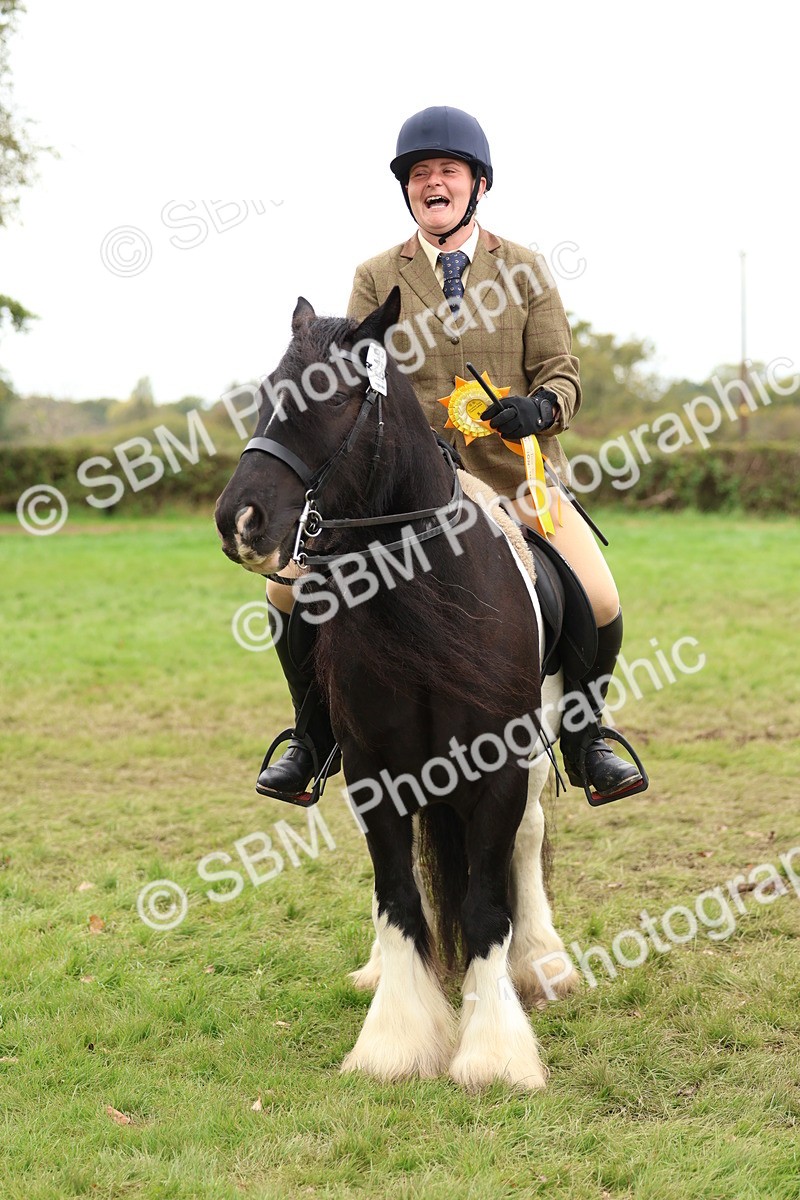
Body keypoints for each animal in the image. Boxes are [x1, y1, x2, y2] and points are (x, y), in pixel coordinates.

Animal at [215, 287, 578, 1091]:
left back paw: (542, 963)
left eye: (336, 397)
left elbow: (485, 904)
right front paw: (397, 1041)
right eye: (266, 395)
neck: (422, 587)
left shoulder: (498, 767)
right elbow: (399, 897)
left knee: (527, 842)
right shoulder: (374, 769)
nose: (240, 522)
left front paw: (494, 1054)